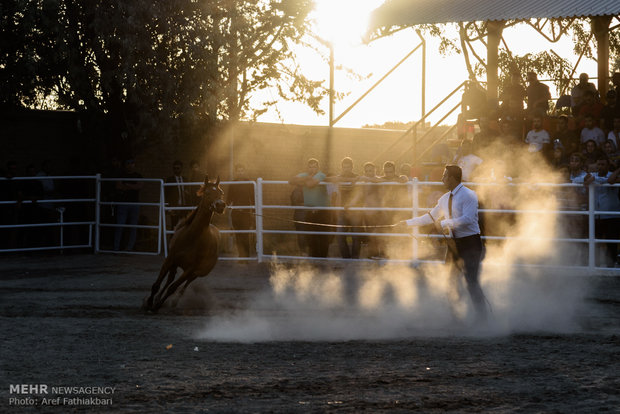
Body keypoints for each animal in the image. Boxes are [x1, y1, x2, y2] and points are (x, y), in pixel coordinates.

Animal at [144, 173, 226, 312]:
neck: (191, 237)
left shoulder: (190, 268)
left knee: (185, 283)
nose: (220, 205)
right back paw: (158, 297)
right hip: (176, 265)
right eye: (207, 192)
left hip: (199, 272)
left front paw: (157, 305)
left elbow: (173, 288)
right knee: (170, 278)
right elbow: (157, 284)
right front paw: (149, 303)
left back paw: (174, 301)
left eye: (220, 192)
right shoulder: (170, 260)